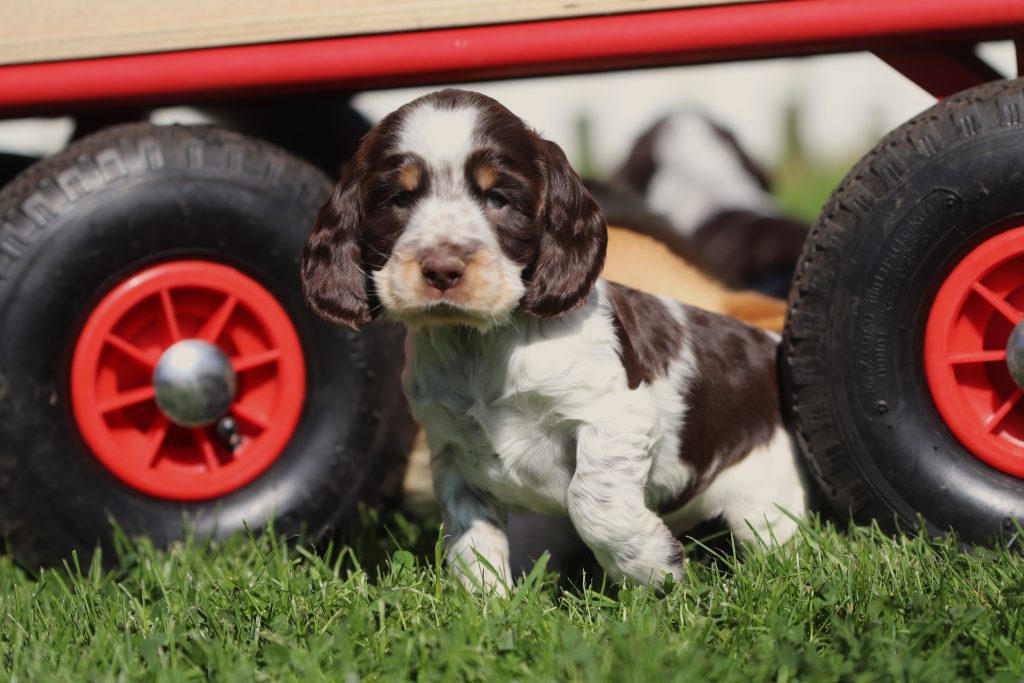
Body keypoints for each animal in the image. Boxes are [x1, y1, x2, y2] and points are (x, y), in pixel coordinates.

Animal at [303, 89, 806, 593]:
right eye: (398, 199)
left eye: (498, 198)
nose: (442, 269)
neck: (479, 345)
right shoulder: (452, 450)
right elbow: (471, 537)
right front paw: (488, 601)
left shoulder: (613, 412)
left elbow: (590, 501)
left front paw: (650, 566)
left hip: (766, 503)